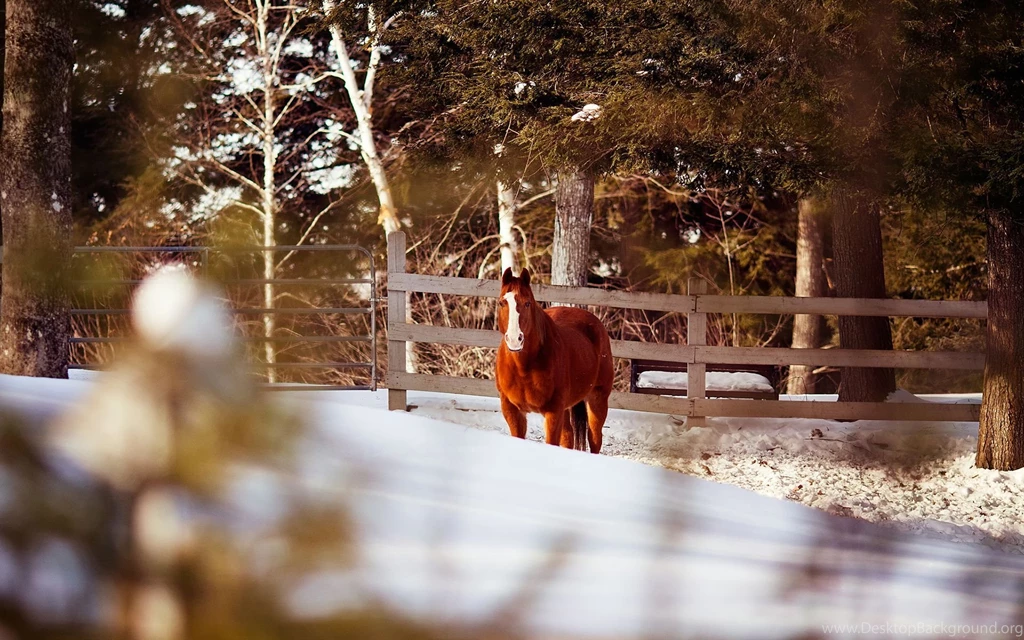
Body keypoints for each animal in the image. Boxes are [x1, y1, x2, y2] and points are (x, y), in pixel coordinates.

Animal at [495, 268, 614, 453]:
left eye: (528, 303)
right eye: (502, 303)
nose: (515, 339)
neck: (523, 367)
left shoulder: (553, 412)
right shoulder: (511, 410)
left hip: (597, 398)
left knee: (595, 438)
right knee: (568, 437)